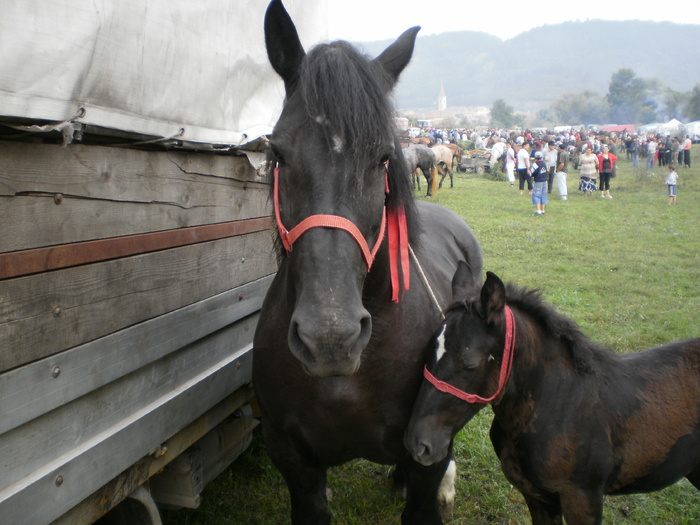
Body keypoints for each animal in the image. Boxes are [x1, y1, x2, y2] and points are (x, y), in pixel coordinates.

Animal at [404, 266, 700, 524]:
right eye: (428, 349)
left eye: (470, 363)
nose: (419, 445)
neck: (559, 405)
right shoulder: (537, 497)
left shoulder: (582, 499)